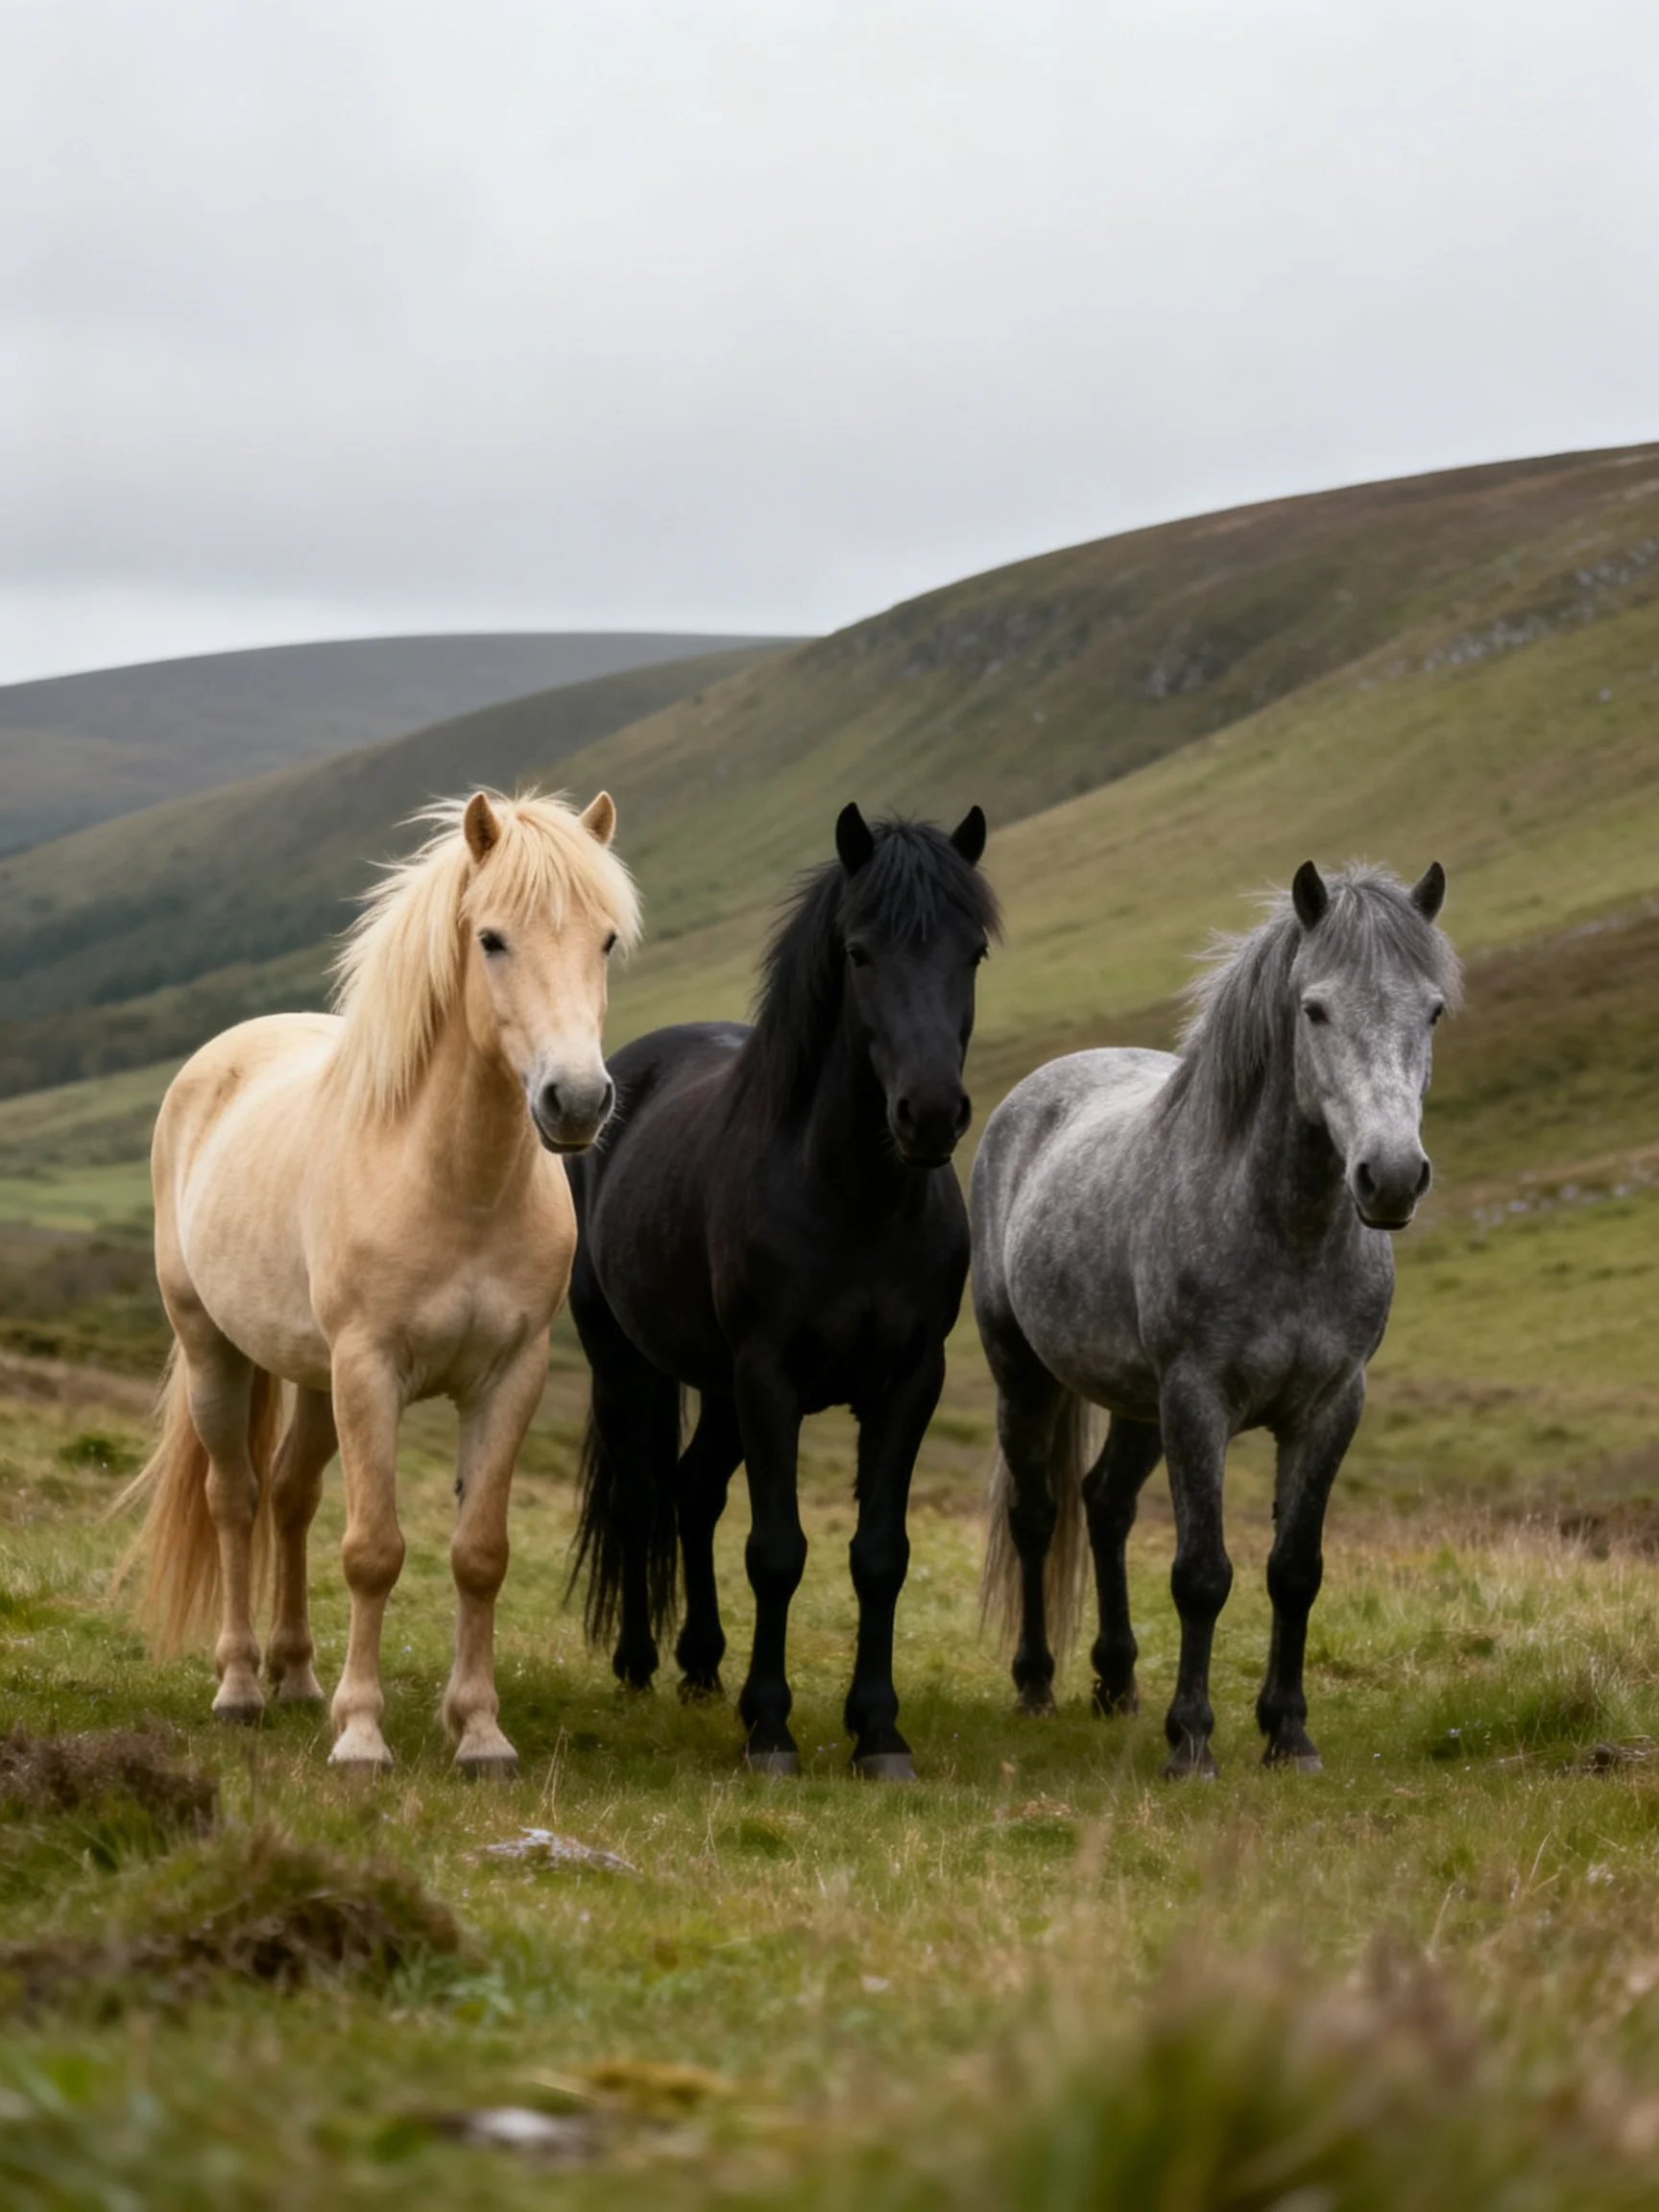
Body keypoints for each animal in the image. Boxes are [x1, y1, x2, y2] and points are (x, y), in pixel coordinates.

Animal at [114, 789, 639, 1774]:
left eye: (606, 942)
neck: (455, 1184)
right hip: (216, 1353)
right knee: (236, 1500)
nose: (578, 1101)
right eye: (492, 939)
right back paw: (241, 1686)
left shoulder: (510, 1375)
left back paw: (296, 1677)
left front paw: (479, 1732)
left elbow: (479, 1553)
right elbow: (373, 1551)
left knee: (290, 1497)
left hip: (315, 1379)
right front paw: (361, 1734)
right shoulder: (371, 1369)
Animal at [565, 803, 998, 1779]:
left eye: (973, 953)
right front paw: (770, 1729)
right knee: (642, 1498)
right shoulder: (770, 1377)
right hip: (623, 1364)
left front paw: (878, 1731)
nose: (930, 1115)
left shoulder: (909, 1381)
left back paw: (700, 1666)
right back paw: (640, 1663)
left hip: (719, 1388)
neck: (853, 1200)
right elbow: (776, 1551)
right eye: (860, 952)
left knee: (693, 1492)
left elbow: (880, 1554)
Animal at [974, 860, 1460, 1778]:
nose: (1390, 1177)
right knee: (1037, 1514)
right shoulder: (1198, 1401)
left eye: (1433, 1010)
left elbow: (1294, 1570)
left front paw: (1288, 1733)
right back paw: (1037, 1683)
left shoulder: (1331, 1406)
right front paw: (1192, 1741)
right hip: (1024, 1376)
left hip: (1136, 1403)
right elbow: (1202, 1572)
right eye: (1314, 1009)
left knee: (1105, 1506)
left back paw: (1117, 1683)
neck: (1287, 1230)